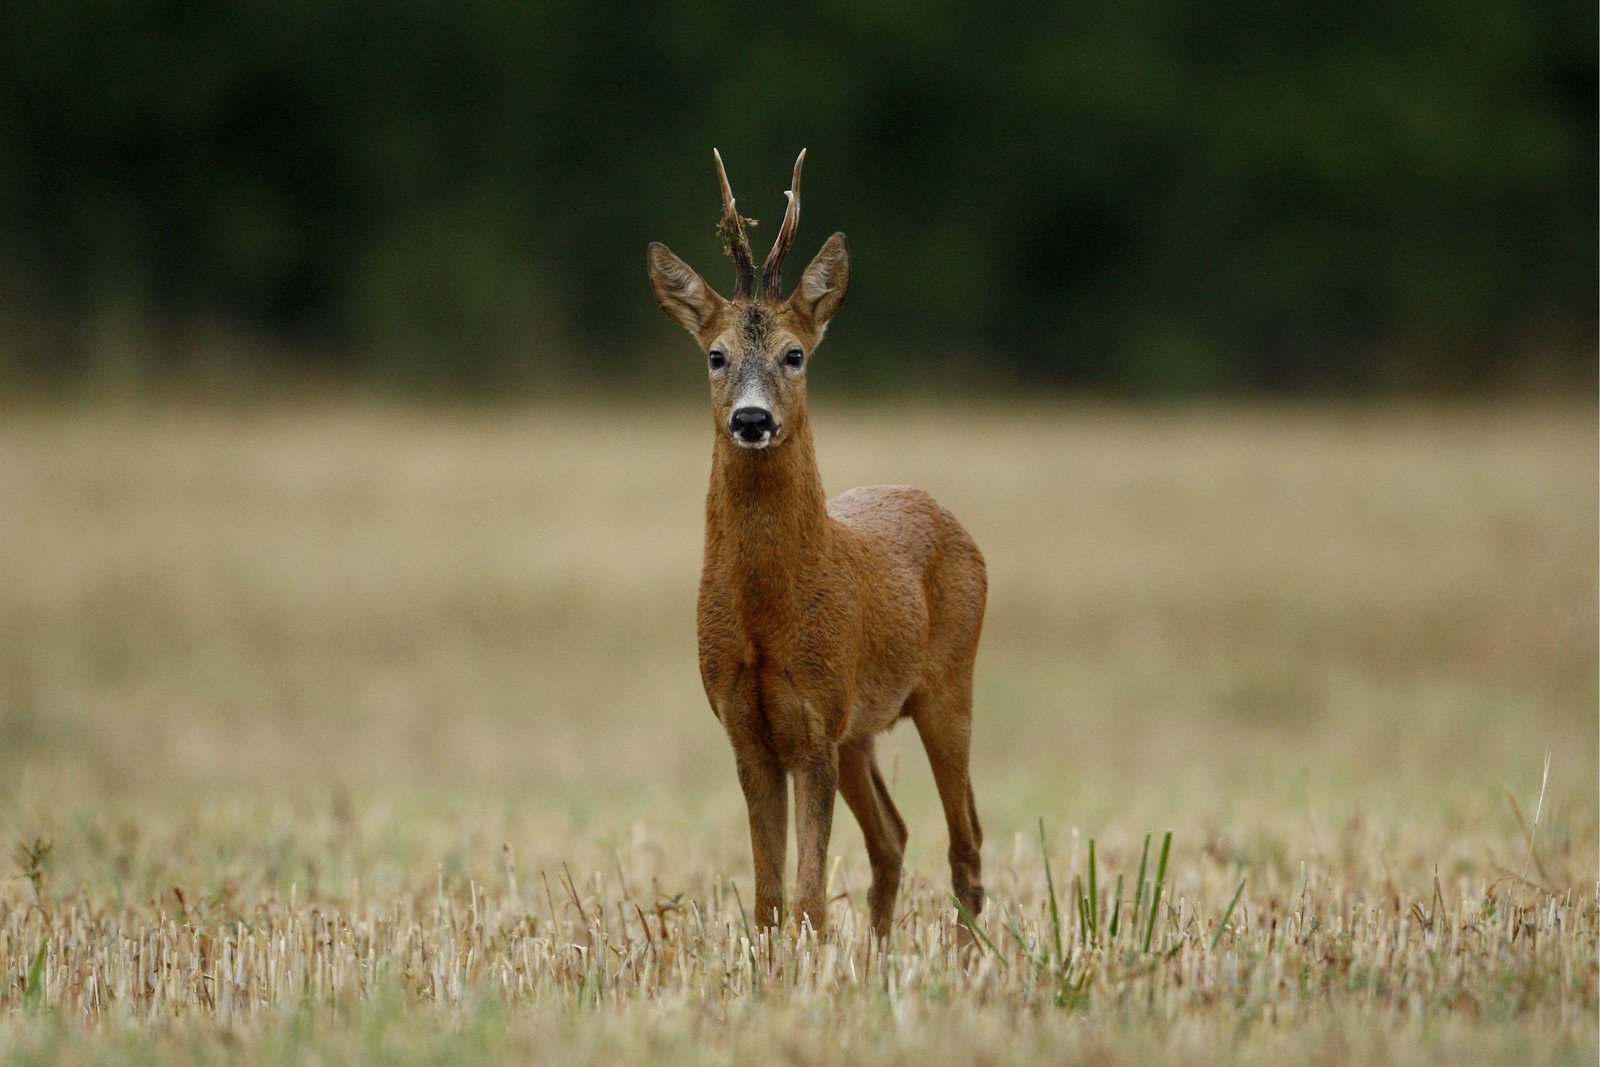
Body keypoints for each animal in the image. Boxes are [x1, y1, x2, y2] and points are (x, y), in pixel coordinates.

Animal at [643, 151, 979, 940]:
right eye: (715, 355)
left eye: (794, 354)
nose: (752, 419)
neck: (767, 619)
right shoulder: (750, 729)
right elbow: (769, 898)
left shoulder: (815, 724)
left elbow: (809, 898)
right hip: (861, 731)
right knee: (894, 837)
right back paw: (881, 952)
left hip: (949, 688)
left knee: (966, 843)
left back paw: (965, 952)